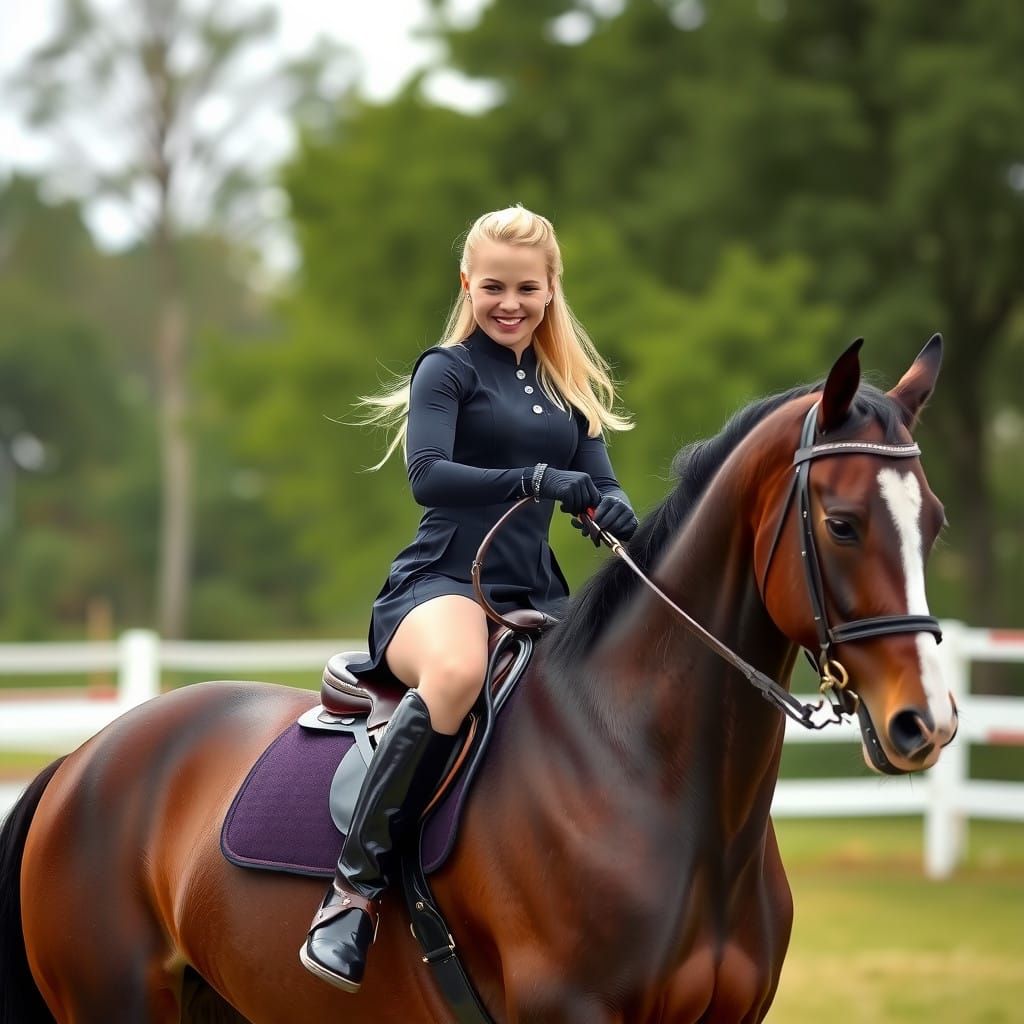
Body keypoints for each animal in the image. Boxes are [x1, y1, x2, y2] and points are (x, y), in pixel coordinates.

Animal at [1, 336, 958, 1023]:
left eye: (935, 524)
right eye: (841, 523)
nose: (928, 723)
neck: (651, 779)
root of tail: (85, 760)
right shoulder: (571, 1012)